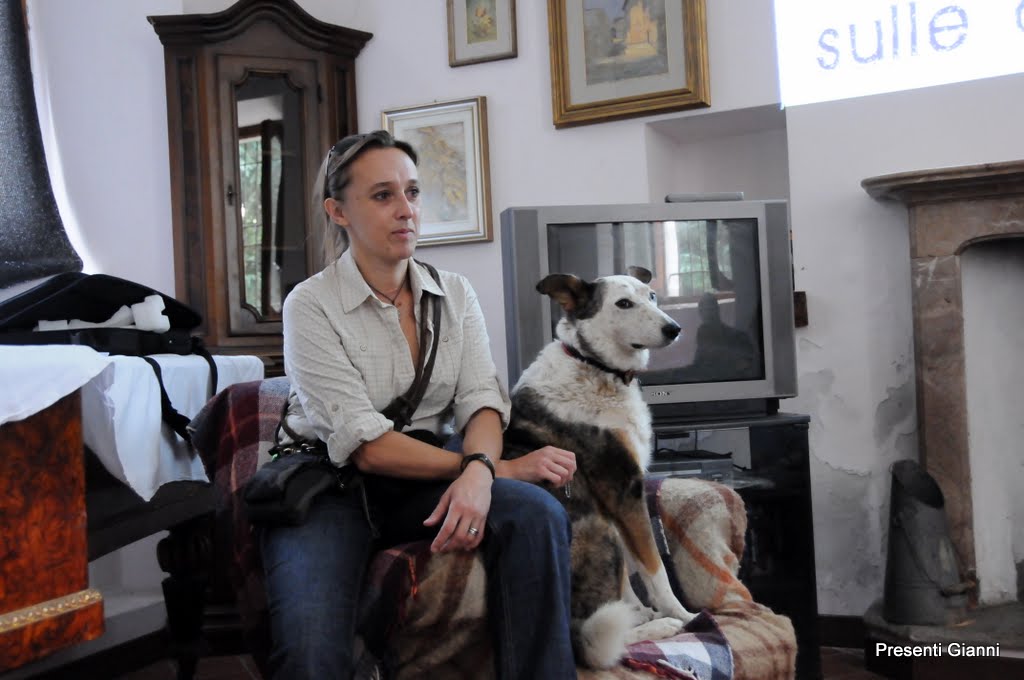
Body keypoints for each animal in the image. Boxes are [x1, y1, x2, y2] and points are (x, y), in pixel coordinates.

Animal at [503, 266, 696, 669]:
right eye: (623, 303)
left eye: (651, 296)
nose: (674, 328)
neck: (593, 365)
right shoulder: (624, 491)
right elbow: (655, 570)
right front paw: (684, 614)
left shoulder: (618, 506)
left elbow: (633, 576)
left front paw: (644, 610)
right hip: (596, 526)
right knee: (594, 638)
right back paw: (662, 626)